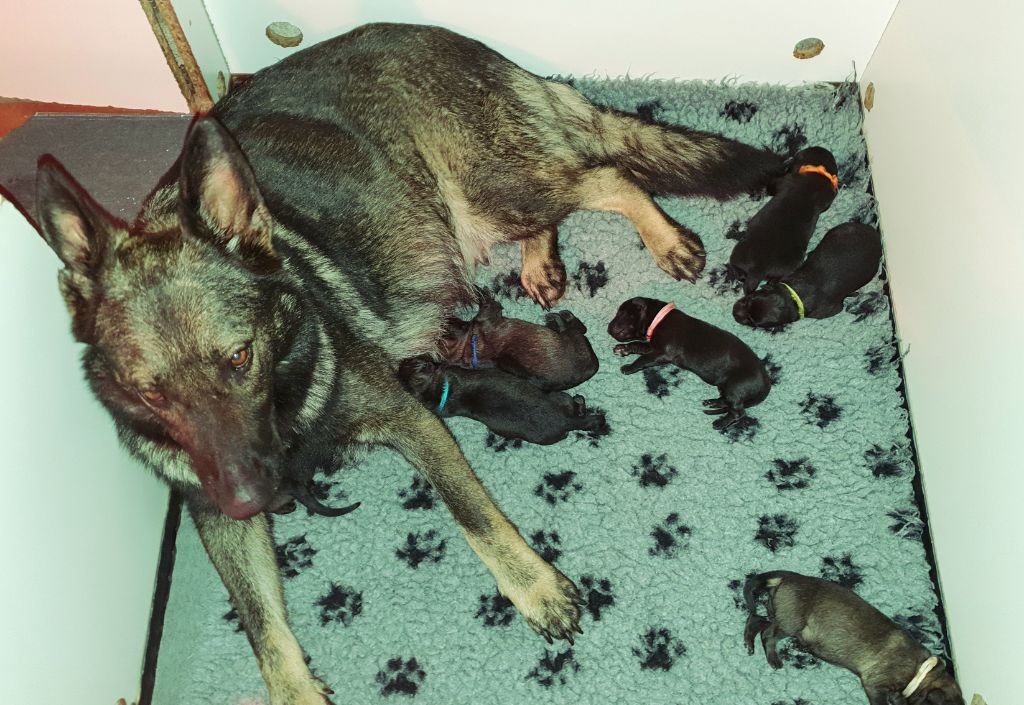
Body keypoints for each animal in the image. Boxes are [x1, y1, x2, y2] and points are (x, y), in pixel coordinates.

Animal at [395, 360, 602, 442]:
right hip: (558, 396)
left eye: (408, 362)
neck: (438, 390)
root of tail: (566, 421)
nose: (403, 361)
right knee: (577, 402)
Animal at [733, 223, 884, 327]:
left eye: (753, 322)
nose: (734, 312)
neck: (793, 296)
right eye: (748, 299)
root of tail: (875, 234)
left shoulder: (830, 310)